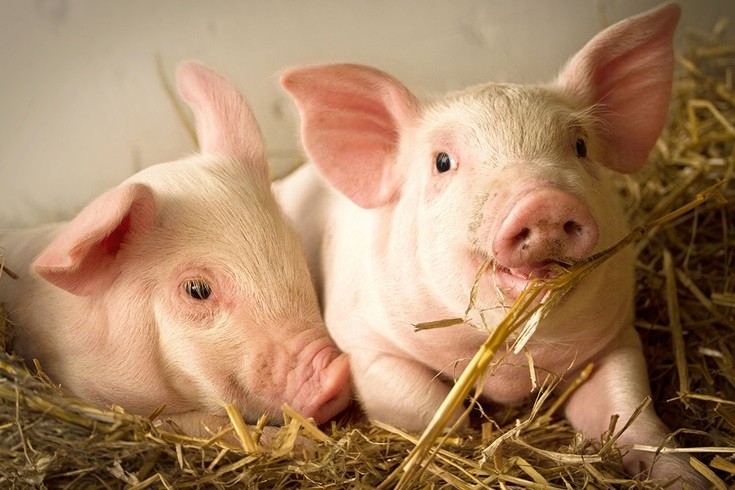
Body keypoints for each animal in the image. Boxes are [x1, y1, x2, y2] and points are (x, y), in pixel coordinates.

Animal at [275, 3, 703, 486]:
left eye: (580, 146)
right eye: (442, 162)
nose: (543, 201)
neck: (508, 365)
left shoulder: (616, 338)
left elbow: (631, 410)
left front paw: (689, 477)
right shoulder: (364, 342)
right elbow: (425, 407)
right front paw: (466, 439)